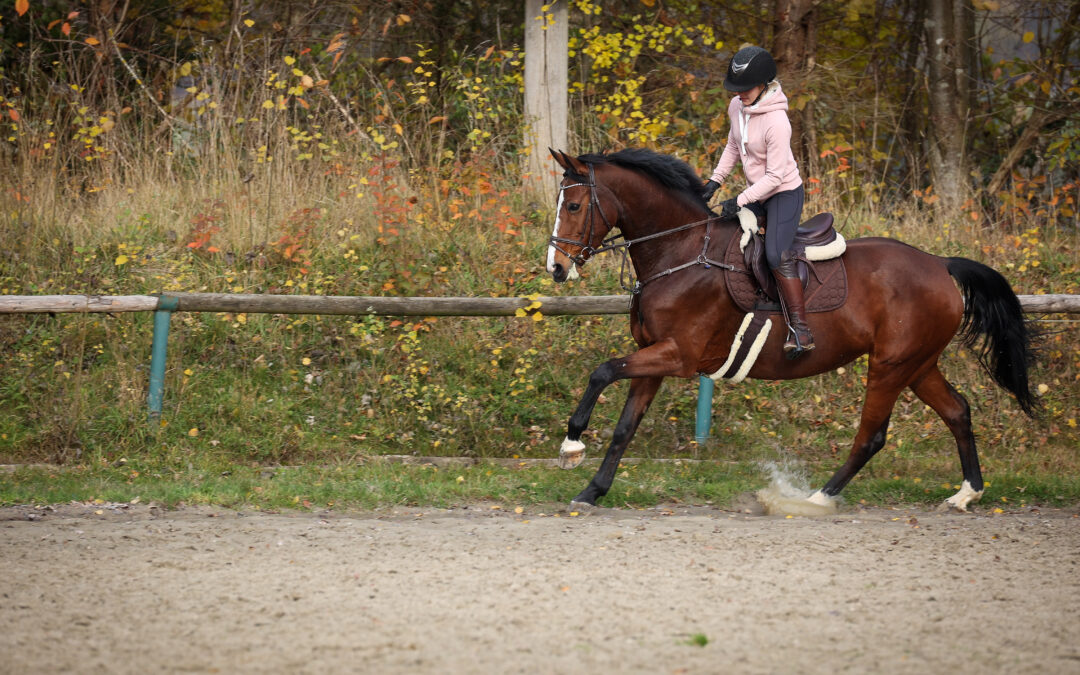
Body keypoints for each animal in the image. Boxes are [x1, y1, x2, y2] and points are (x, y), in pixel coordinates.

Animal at [544, 149, 1032, 509]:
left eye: (574, 205)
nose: (556, 268)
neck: (680, 251)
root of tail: (939, 264)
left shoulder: (677, 354)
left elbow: (602, 371)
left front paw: (571, 446)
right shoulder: (653, 355)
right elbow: (625, 425)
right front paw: (592, 490)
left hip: (892, 365)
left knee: (872, 435)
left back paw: (817, 498)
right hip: (917, 364)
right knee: (957, 411)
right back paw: (967, 493)